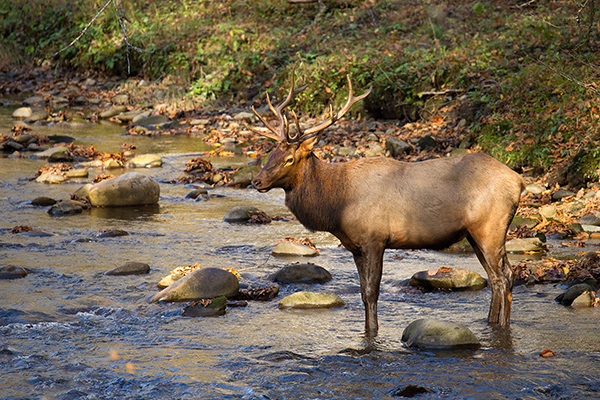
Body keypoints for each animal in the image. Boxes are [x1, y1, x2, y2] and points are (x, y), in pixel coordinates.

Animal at [246, 73, 524, 336]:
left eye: (289, 159)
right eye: (270, 154)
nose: (256, 180)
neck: (336, 205)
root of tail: (518, 181)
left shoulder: (375, 238)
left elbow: (371, 292)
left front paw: (373, 332)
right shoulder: (355, 246)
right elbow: (361, 292)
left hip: (490, 227)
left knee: (505, 277)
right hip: (474, 234)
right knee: (495, 277)